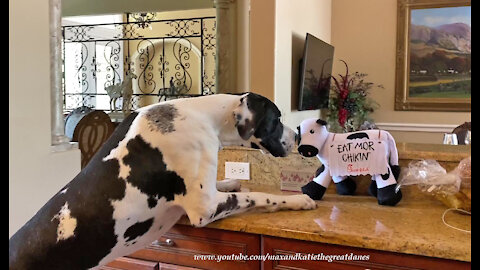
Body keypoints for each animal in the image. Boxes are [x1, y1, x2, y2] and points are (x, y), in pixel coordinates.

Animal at [9, 93, 316, 270]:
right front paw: (298, 200)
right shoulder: (204, 210)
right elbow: (261, 196)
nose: (298, 136)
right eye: (277, 119)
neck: (204, 116)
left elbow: (225, 184)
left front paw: (229, 181)